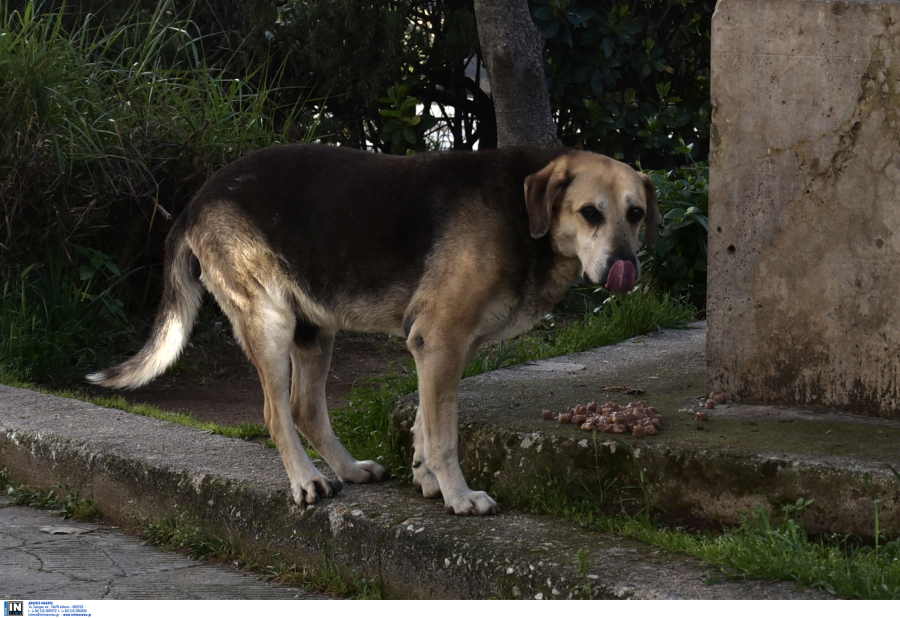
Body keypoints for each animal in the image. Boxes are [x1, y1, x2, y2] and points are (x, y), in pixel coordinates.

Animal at [88, 144, 656, 516]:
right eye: (589, 213)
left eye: (636, 214)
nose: (625, 268)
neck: (521, 210)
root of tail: (195, 201)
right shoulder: (440, 340)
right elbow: (444, 434)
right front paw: (459, 496)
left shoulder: (441, 347)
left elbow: (427, 423)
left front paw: (426, 478)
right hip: (270, 322)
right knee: (276, 413)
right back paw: (307, 482)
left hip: (314, 326)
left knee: (305, 407)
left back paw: (348, 470)